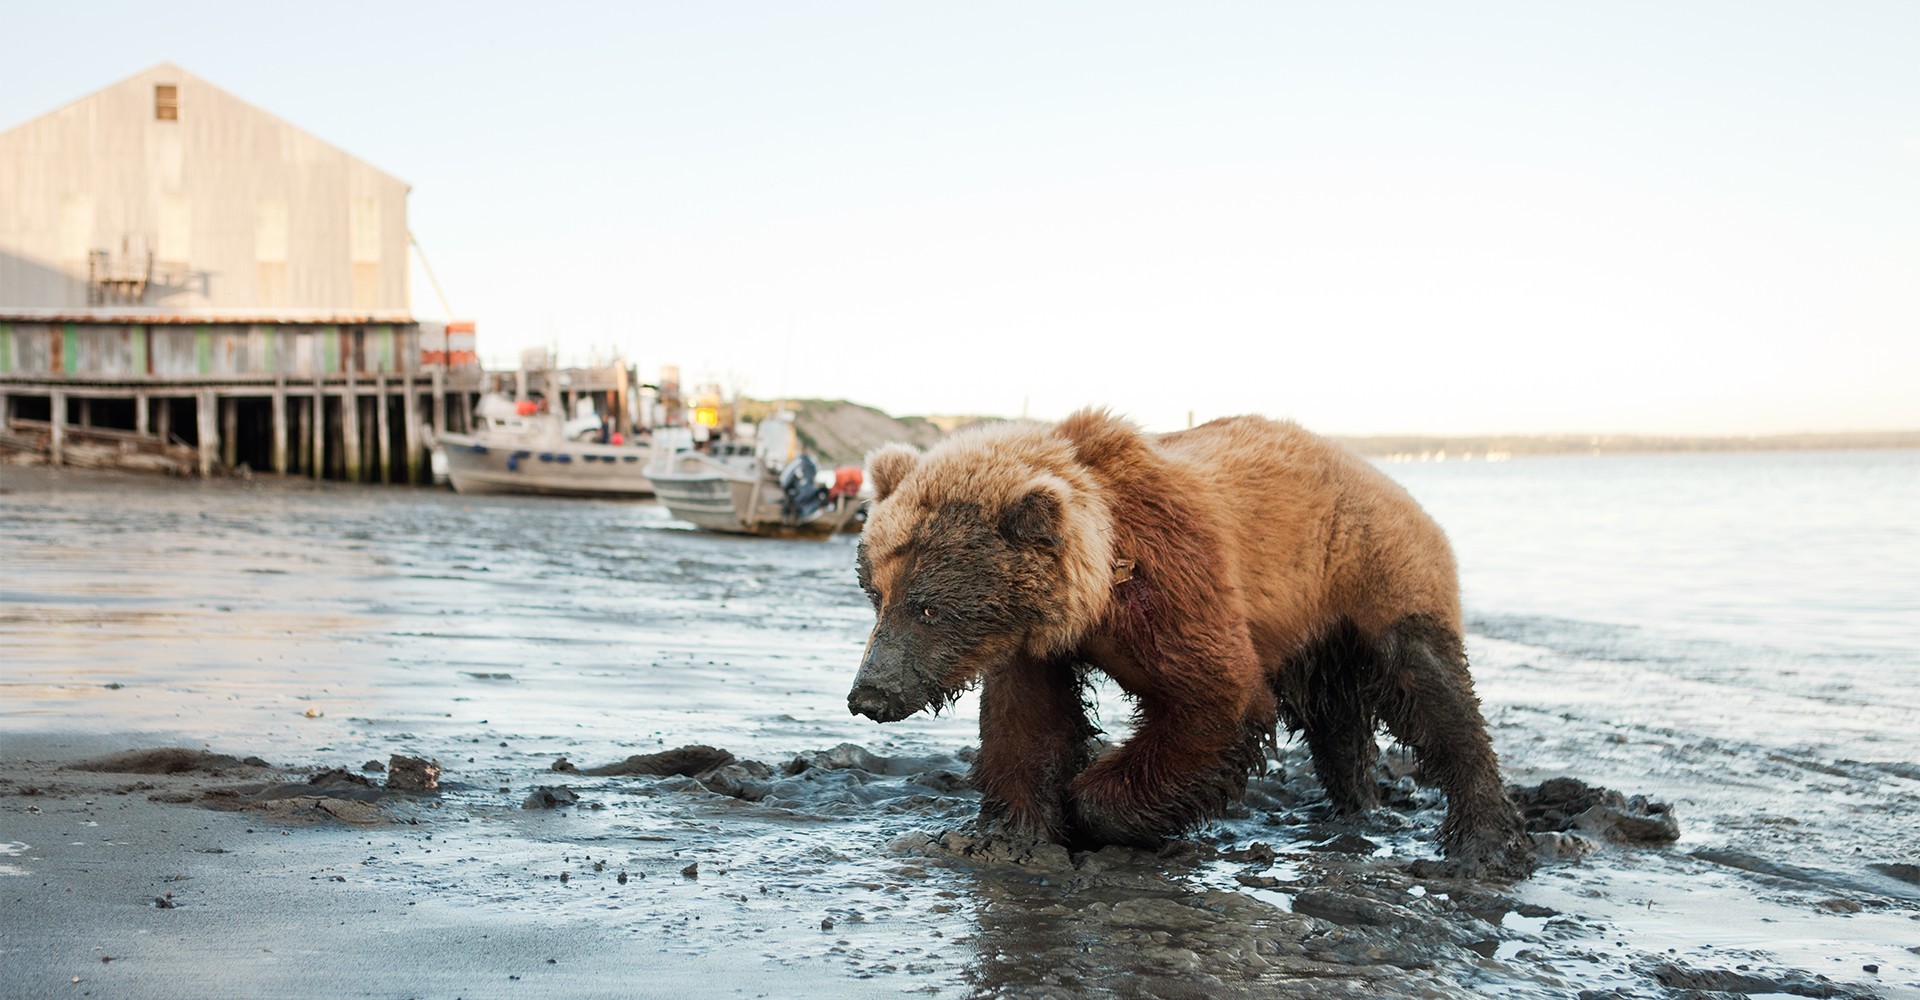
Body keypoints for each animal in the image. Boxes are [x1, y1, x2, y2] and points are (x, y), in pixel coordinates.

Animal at [848, 404, 1536, 875]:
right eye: (875, 594)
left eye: (929, 607)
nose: (868, 694)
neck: (1101, 588)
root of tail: (1390, 481)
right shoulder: (1033, 644)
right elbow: (1028, 726)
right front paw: (1003, 835)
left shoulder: (1175, 580)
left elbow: (1215, 699)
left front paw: (1090, 806)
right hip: (1312, 628)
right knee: (1338, 719)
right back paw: (1349, 804)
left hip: (1376, 574)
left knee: (1436, 698)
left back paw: (1482, 842)